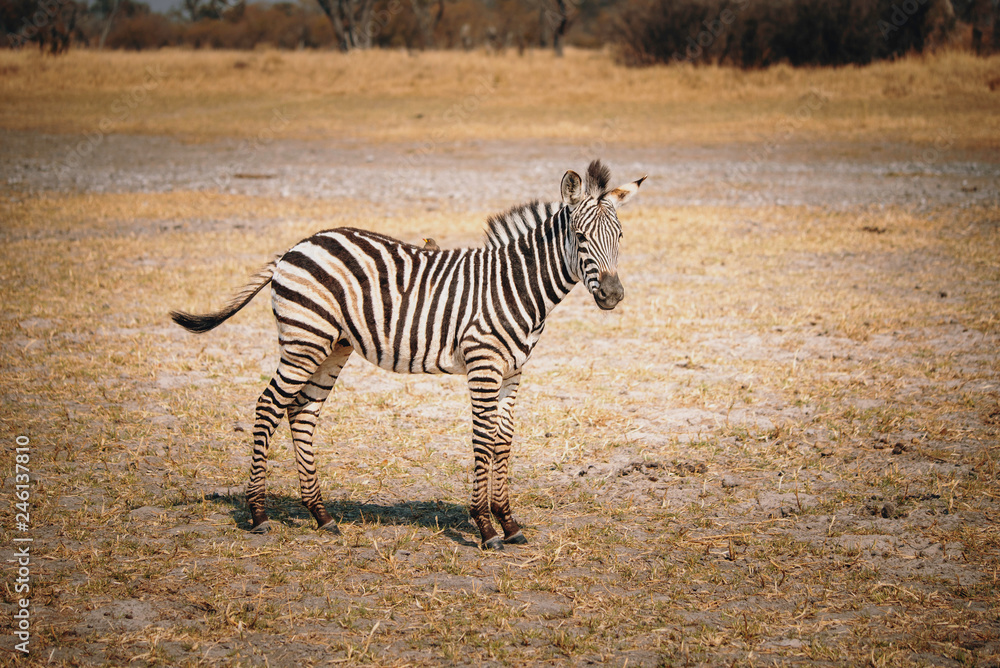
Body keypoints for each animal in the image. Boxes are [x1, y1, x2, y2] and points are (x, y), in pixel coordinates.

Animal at [170, 160, 644, 550]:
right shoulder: (483, 365)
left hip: (332, 346)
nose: (614, 295)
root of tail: (296, 247)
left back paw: (321, 516)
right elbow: (483, 438)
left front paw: (509, 523)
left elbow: (503, 439)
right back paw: (258, 514)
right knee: (269, 405)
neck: (516, 285)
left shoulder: (513, 371)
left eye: (620, 236)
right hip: (304, 338)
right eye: (580, 237)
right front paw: (485, 528)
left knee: (301, 412)